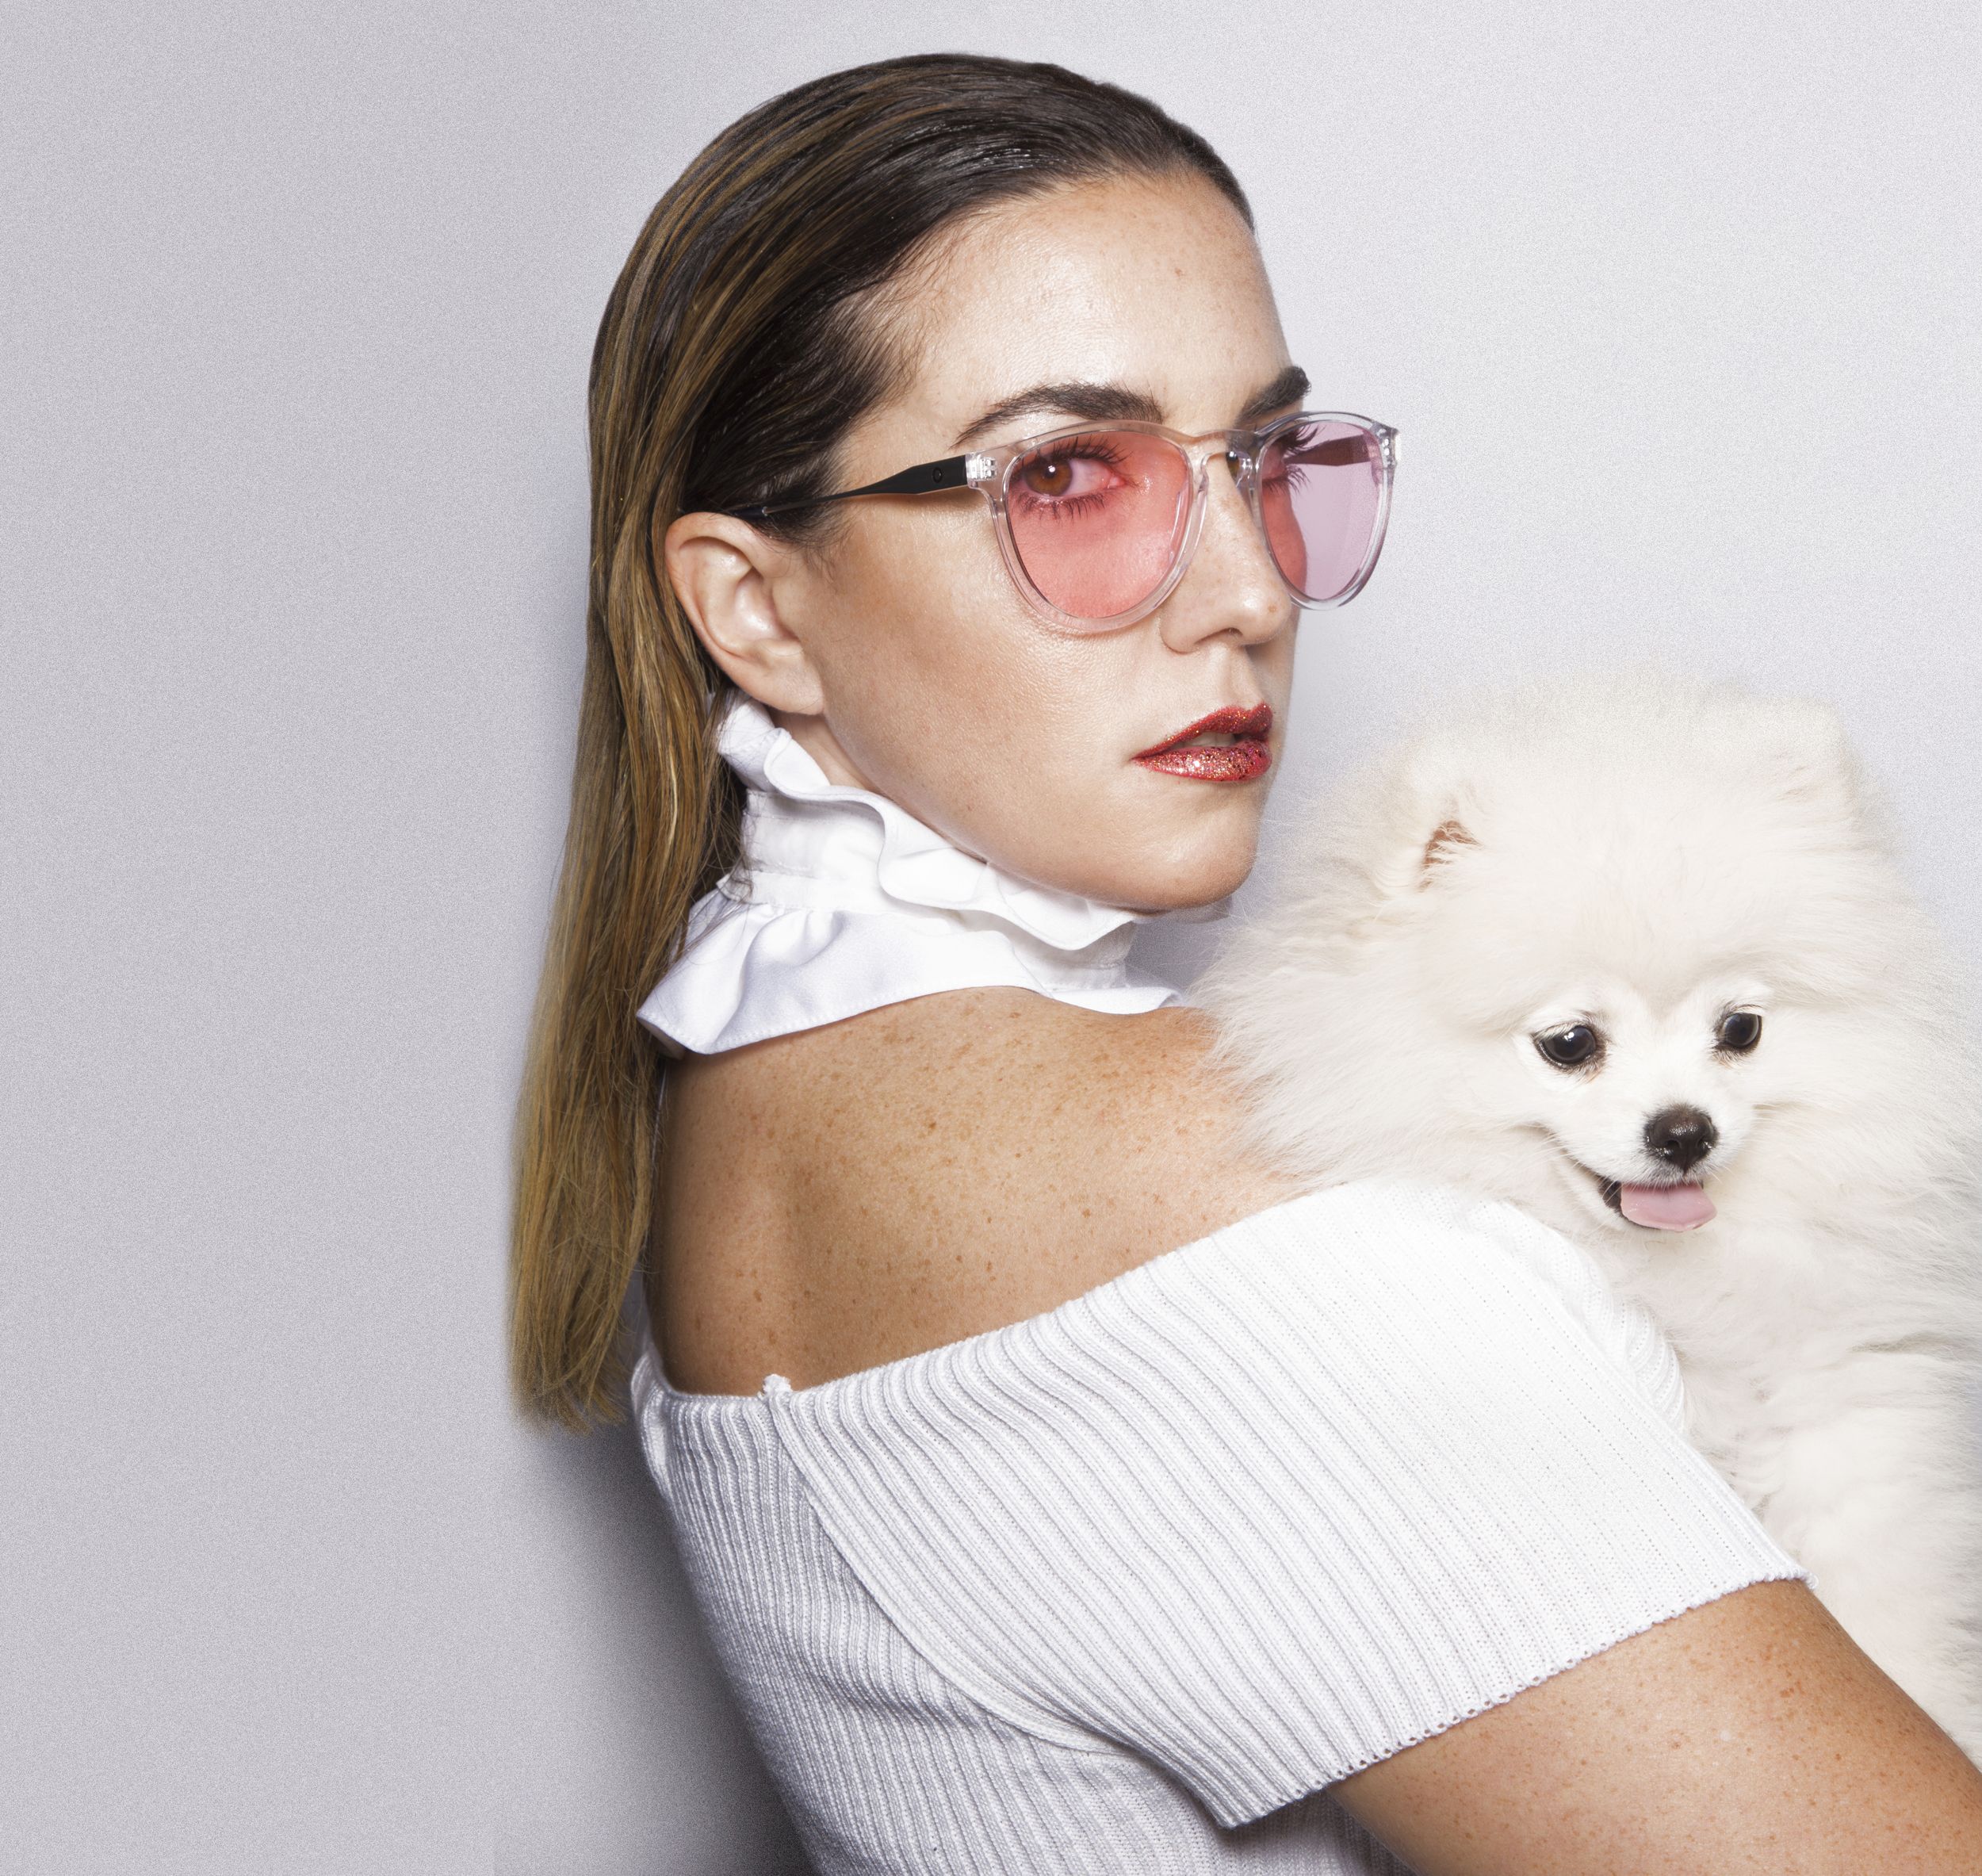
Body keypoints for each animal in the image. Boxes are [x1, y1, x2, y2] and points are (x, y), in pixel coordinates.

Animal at [1196, 669, 1982, 1757]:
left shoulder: (1843, 1410)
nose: (1685, 1130)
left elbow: (1876, 1583)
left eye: (1741, 1029)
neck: (1675, 1285)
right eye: (1570, 1043)